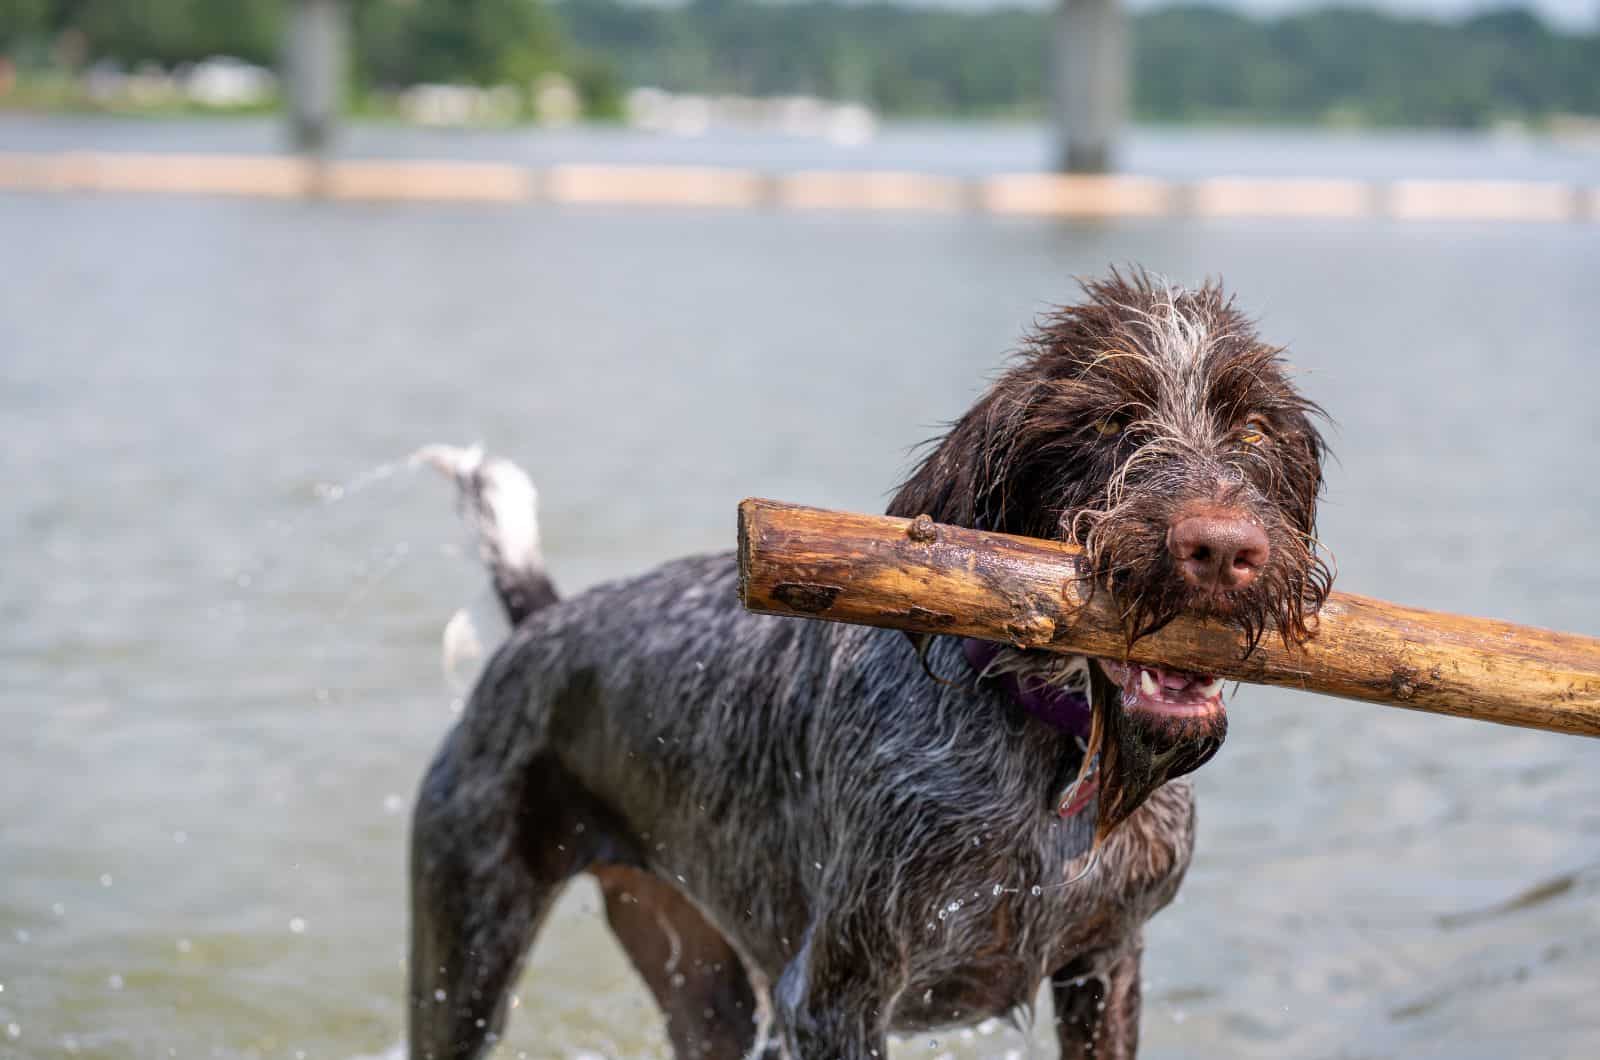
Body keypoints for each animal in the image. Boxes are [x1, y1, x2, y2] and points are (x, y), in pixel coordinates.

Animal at [409, 273, 1324, 1060]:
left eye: (1253, 431)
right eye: (1108, 422)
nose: (1223, 550)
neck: (1048, 748)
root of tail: (542, 622)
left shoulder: (1105, 966)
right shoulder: (832, 996)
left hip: (703, 987)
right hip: (467, 957)